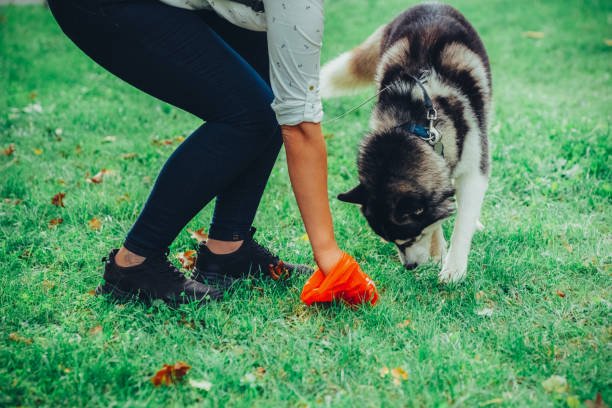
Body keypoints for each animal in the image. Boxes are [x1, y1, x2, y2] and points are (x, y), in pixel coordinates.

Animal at [322, 3, 490, 284]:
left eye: (411, 237)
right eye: (391, 240)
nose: (409, 267)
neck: (417, 124)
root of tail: (430, 4)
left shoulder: (474, 166)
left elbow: (463, 219)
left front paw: (454, 268)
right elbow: (440, 214)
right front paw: (437, 250)